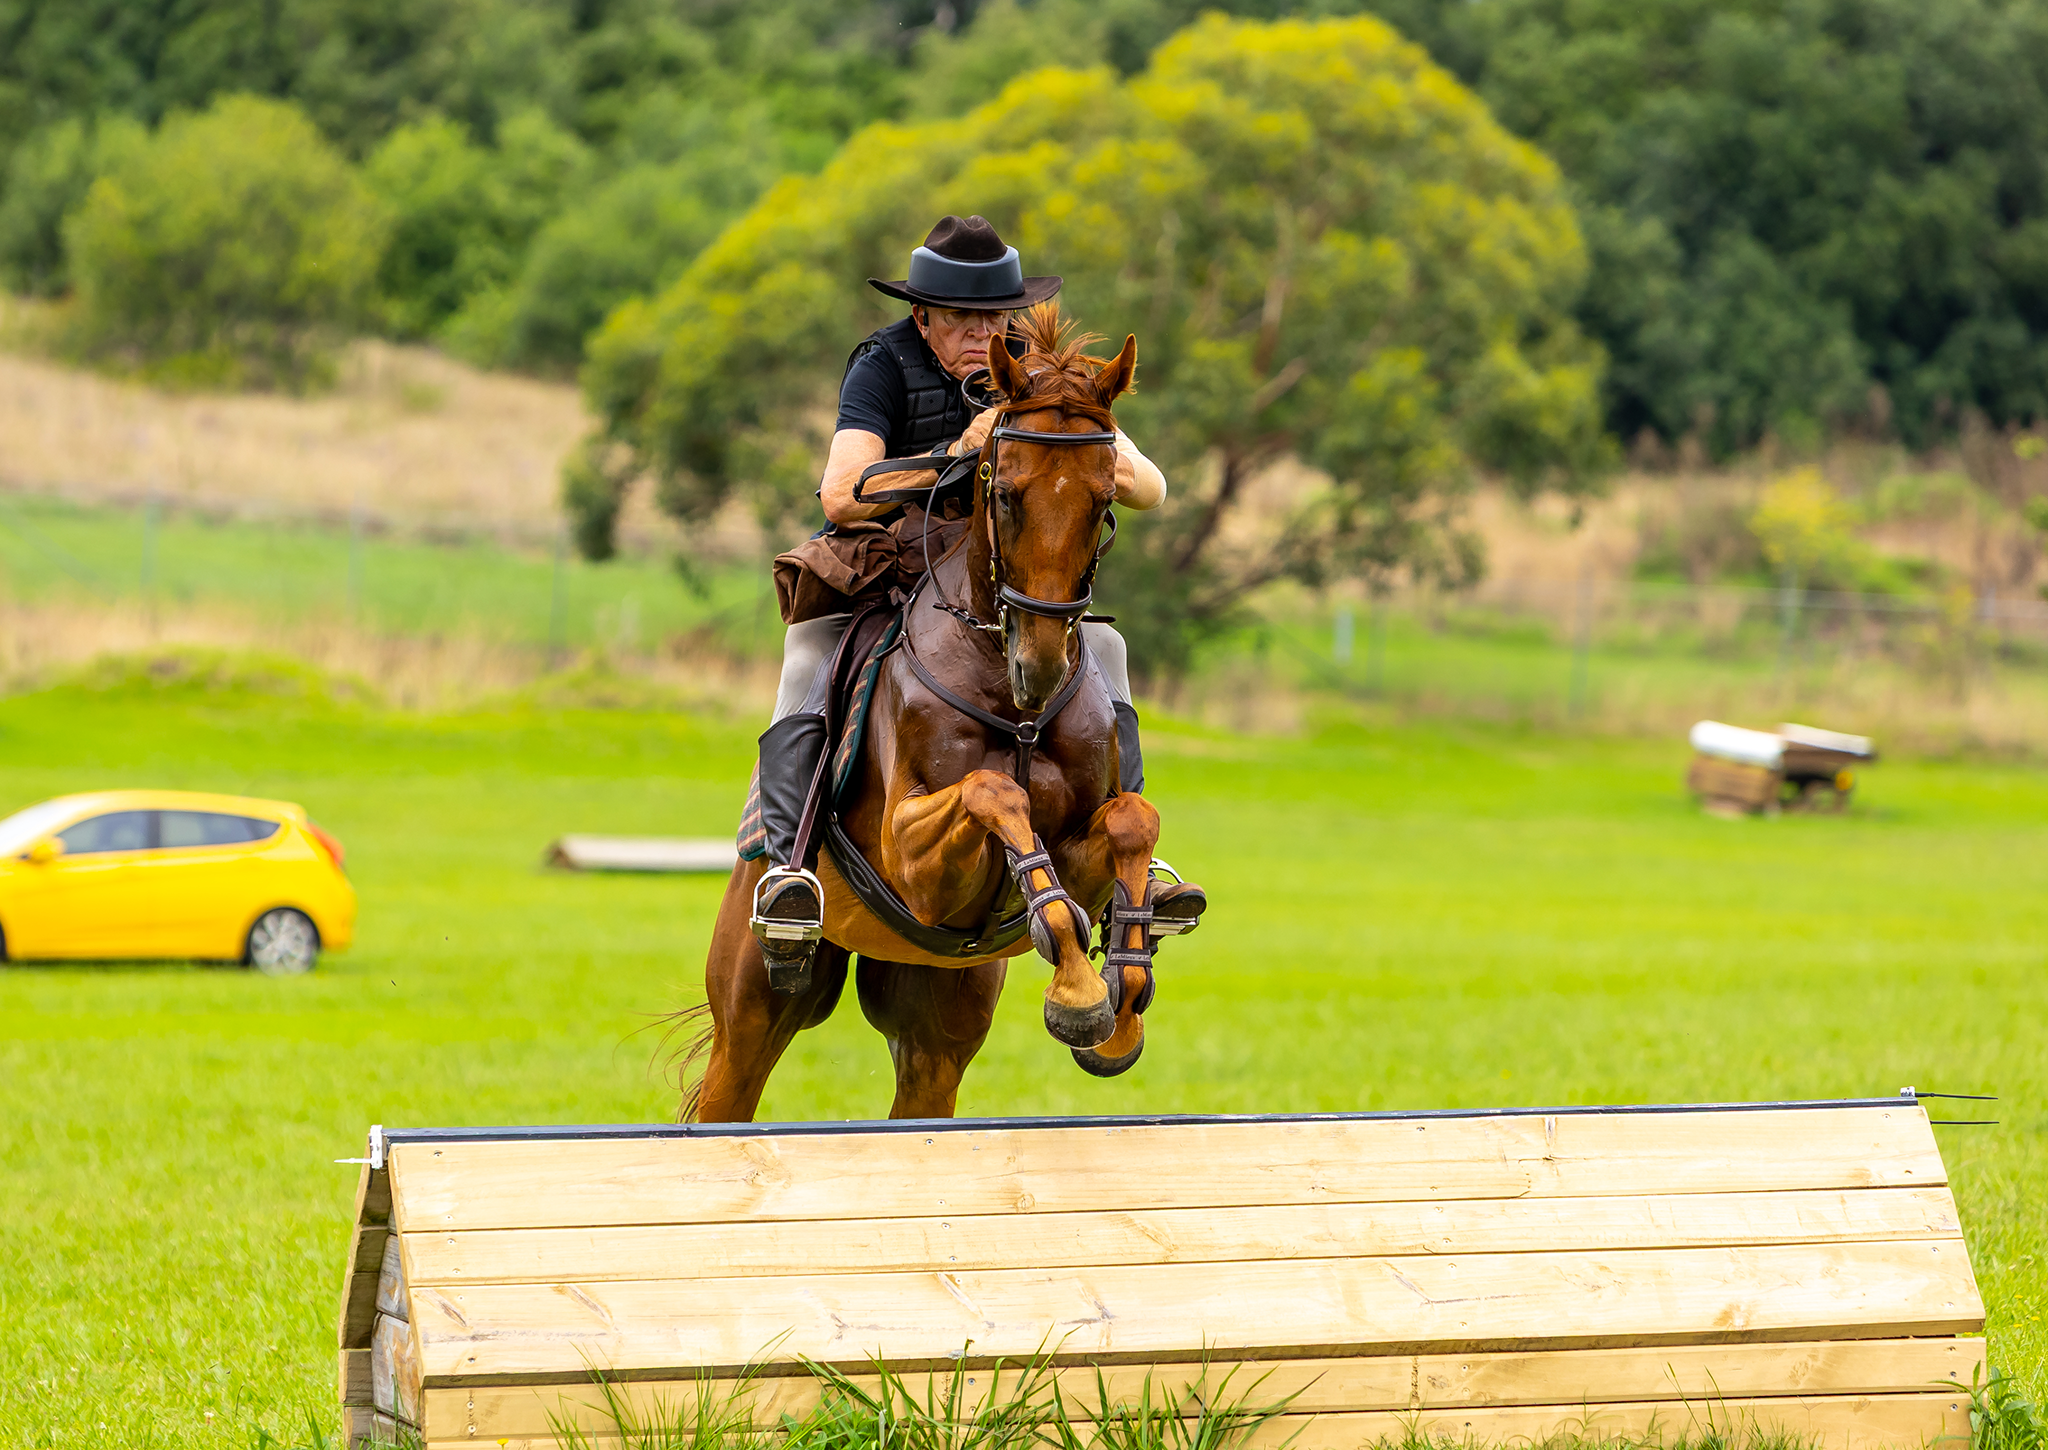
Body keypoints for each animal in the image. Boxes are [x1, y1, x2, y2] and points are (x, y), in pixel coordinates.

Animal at [677, 305, 1185, 1122]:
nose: (1039, 667)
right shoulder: (914, 862)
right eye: (1004, 493)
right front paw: (1080, 995)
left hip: (936, 1018)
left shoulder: (1073, 847)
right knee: (732, 1086)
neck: (1015, 710)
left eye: (1103, 505)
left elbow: (1130, 820)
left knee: (924, 1082)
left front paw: (1117, 1005)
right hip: (756, 1000)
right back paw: (788, 896)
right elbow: (993, 789)